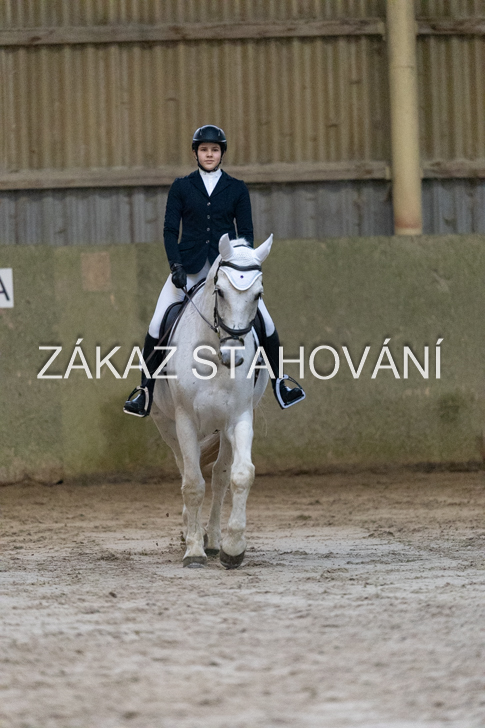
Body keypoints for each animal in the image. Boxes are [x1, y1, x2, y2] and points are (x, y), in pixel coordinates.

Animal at [150, 233, 274, 568]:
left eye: (258, 295)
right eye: (220, 291)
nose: (233, 355)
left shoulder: (239, 418)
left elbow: (240, 475)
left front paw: (233, 548)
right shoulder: (184, 422)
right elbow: (193, 484)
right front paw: (193, 550)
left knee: (219, 478)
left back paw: (215, 540)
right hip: (167, 427)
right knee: (184, 470)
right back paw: (191, 533)